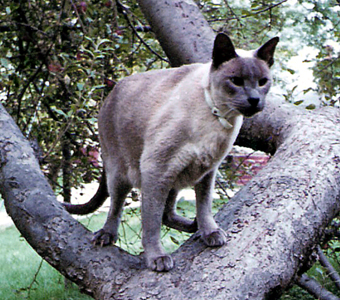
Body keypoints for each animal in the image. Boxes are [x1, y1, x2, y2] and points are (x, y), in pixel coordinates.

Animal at [63, 32, 278, 272]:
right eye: (236, 81)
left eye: (262, 82)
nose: (254, 100)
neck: (219, 120)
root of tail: (111, 93)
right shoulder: (156, 169)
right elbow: (151, 223)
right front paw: (156, 258)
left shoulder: (206, 170)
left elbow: (204, 207)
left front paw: (210, 232)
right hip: (123, 174)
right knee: (117, 208)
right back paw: (106, 235)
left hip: (177, 176)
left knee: (168, 214)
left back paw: (194, 225)